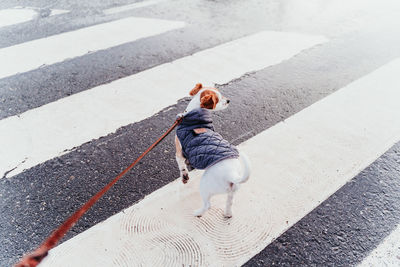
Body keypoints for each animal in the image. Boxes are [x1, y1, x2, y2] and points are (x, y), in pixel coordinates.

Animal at [175, 84, 250, 218]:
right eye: (219, 99)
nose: (228, 100)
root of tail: (232, 175)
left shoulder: (179, 153)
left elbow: (181, 167)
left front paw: (184, 177)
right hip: (232, 191)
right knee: (229, 203)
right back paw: (227, 214)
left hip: (205, 186)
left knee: (207, 205)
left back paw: (197, 213)